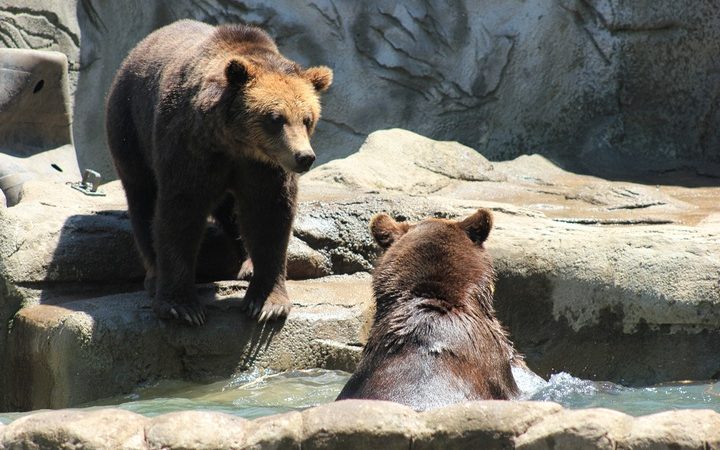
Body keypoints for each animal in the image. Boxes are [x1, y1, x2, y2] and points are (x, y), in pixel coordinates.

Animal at [105, 21, 334, 326]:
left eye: (308, 119)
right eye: (275, 118)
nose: (304, 157)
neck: (235, 143)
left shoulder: (264, 168)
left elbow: (268, 216)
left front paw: (266, 303)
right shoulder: (189, 145)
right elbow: (181, 212)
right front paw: (182, 307)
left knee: (232, 211)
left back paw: (247, 264)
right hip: (129, 126)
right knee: (141, 199)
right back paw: (154, 276)